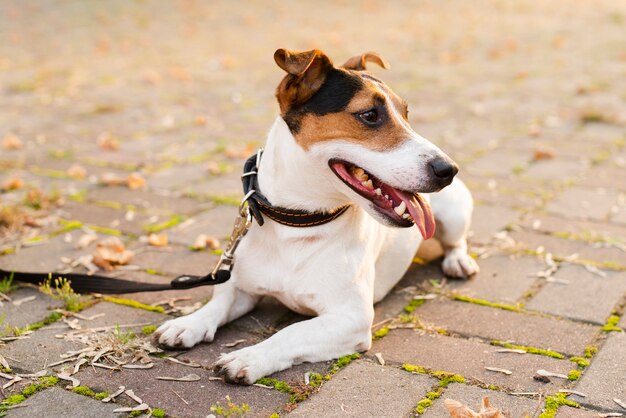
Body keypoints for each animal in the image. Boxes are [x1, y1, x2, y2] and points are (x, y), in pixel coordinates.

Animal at [154, 47, 476, 384]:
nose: (448, 169)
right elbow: (219, 302)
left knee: (456, 242)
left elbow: (291, 333)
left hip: (454, 214)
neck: (297, 223)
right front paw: (189, 323)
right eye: (369, 115)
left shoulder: (350, 318)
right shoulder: (241, 287)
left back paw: (458, 261)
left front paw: (249, 356)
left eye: (406, 113)